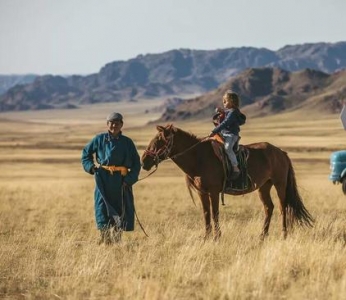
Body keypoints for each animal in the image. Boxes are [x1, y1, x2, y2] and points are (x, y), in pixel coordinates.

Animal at [141, 123, 314, 239]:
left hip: (280, 184)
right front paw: (206, 237)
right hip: (264, 186)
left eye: (159, 141)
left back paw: (284, 234)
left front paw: (217, 237)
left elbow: (215, 213)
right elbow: (206, 214)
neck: (199, 158)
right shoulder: (202, 193)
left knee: (282, 207)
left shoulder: (214, 191)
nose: (144, 161)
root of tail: (281, 152)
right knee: (268, 207)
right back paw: (262, 236)